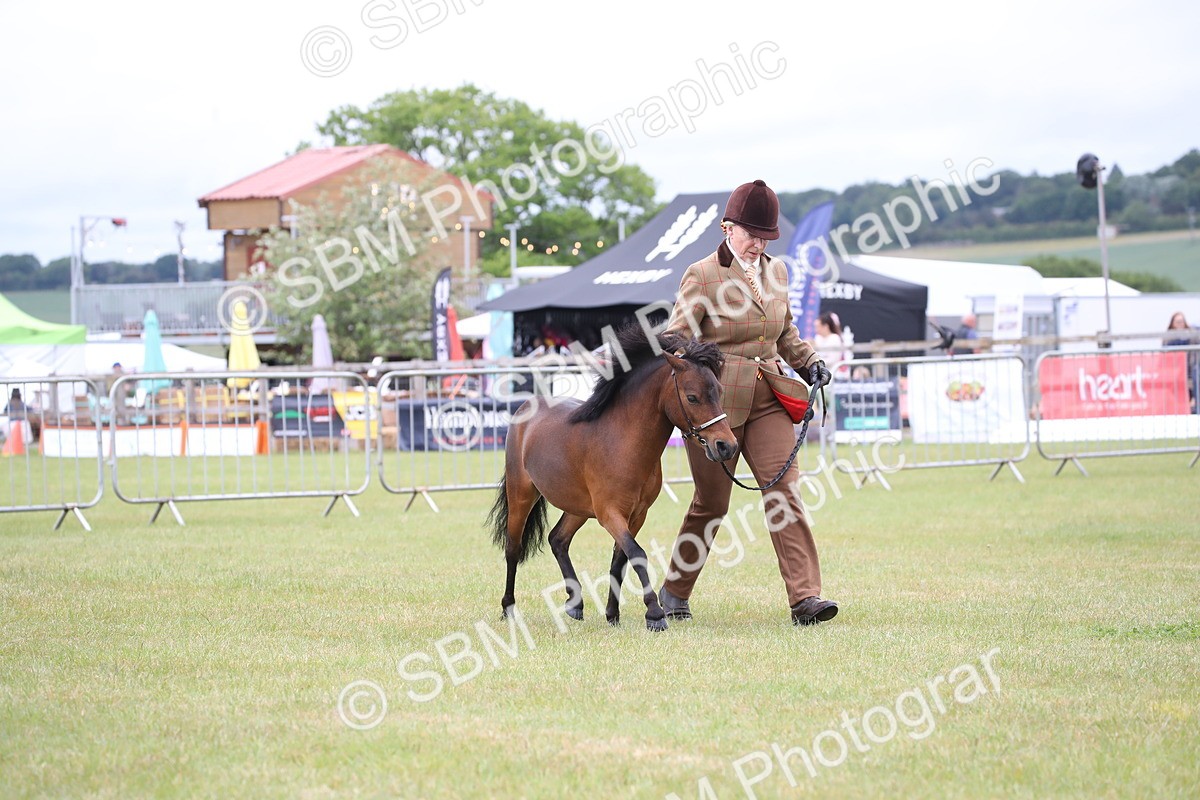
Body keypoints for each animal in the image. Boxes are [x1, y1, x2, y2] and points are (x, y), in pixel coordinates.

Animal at [487, 325, 739, 631]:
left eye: (719, 391)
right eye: (692, 397)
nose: (726, 446)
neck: (623, 442)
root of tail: (526, 407)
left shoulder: (636, 514)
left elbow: (620, 559)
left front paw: (612, 614)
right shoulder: (609, 513)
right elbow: (637, 553)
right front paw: (654, 614)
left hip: (578, 507)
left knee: (558, 539)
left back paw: (575, 604)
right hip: (522, 494)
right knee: (513, 548)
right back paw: (509, 608)